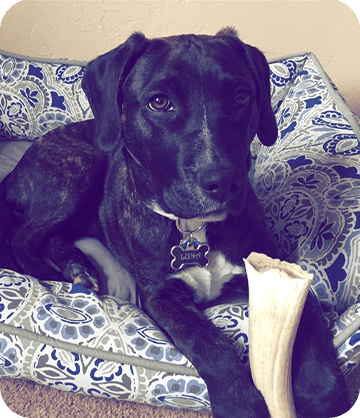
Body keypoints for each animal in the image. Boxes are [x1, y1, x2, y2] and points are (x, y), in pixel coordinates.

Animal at [0, 27, 348, 416]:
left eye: (241, 97)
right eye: (159, 102)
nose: (223, 181)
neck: (195, 229)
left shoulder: (278, 270)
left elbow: (305, 319)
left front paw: (321, 390)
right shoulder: (160, 297)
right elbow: (208, 343)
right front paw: (240, 401)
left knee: (53, 237)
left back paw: (77, 267)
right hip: (80, 169)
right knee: (24, 238)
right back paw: (53, 274)